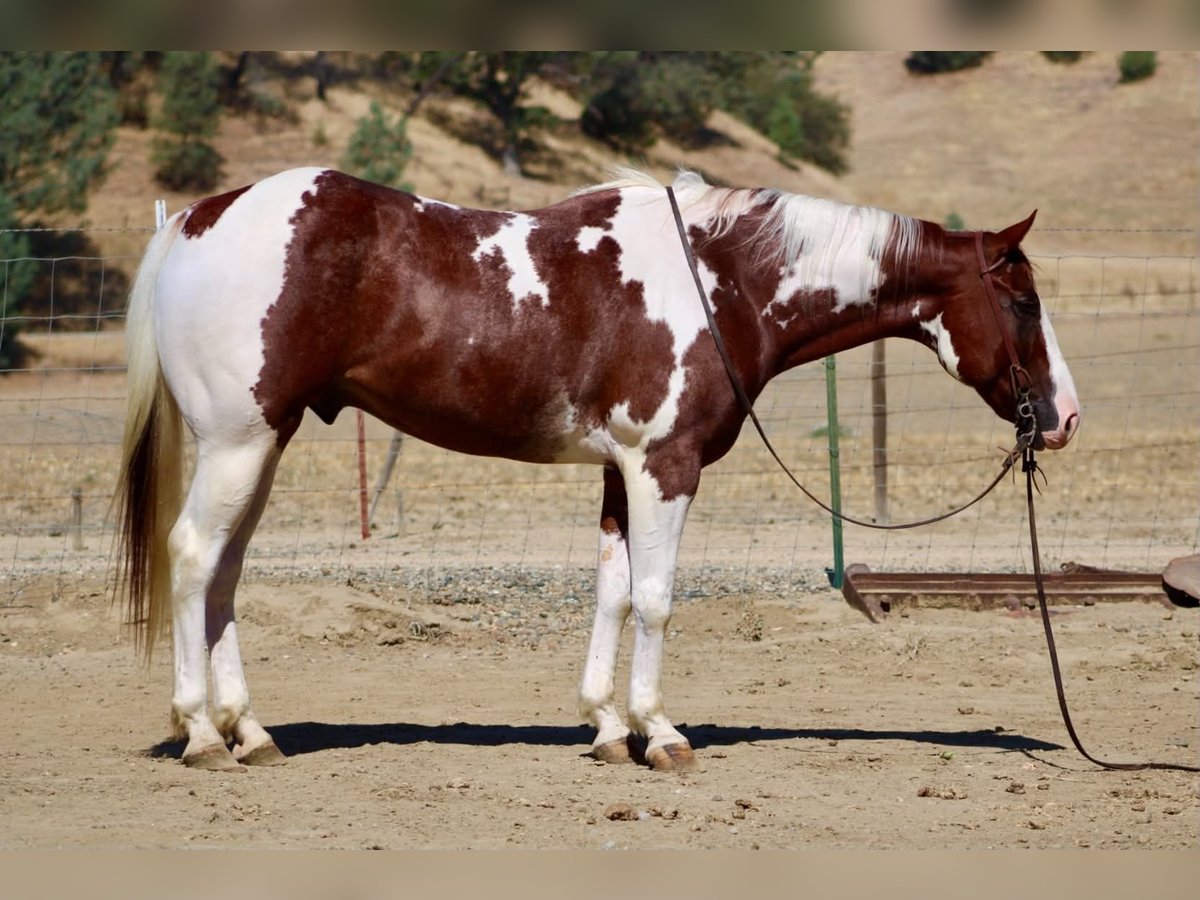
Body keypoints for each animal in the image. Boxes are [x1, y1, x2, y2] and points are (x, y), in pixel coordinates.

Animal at [115, 167, 1080, 772]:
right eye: (1023, 301)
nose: (1065, 416)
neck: (721, 280)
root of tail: (196, 219)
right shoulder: (666, 466)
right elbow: (655, 598)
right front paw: (662, 734)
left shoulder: (623, 473)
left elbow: (613, 593)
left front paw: (609, 729)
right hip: (238, 442)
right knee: (194, 557)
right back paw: (204, 734)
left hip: (259, 445)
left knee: (225, 573)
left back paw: (252, 731)